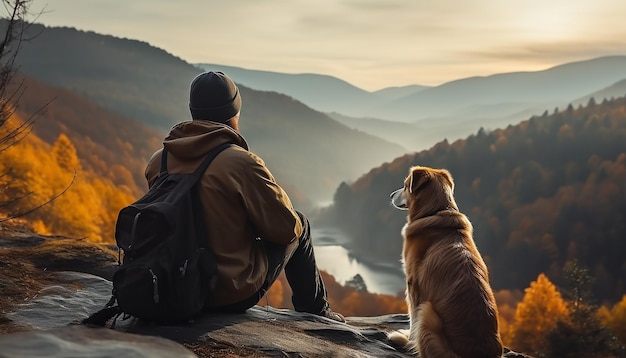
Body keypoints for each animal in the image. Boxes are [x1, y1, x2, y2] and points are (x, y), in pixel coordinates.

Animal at [386, 166, 502, 356]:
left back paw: (405, 342)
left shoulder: (413, 283)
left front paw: (409, 338)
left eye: (405, 185)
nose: (390, 195)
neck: (437, 210)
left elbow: (412, 316)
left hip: (428, 313)